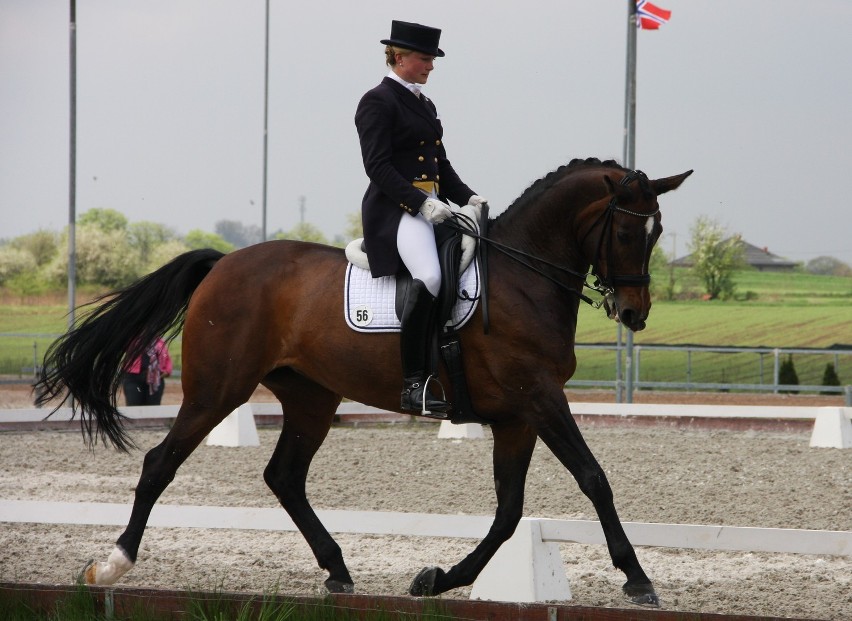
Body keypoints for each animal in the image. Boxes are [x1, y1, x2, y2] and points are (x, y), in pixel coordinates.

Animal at [38, 156, 692, 604]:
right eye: (628, 231)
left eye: (658, 231)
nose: (635, 313)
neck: (523, 278)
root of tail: (223, 263)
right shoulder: (540, 399)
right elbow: (593, 478)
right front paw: (638, 579)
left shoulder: (517, 416)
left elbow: (509, 512)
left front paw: (438, 578)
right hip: (217, 391)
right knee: (161, 464)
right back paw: (111, 565)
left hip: (311, 397)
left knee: (284, 477)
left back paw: (338, 569)